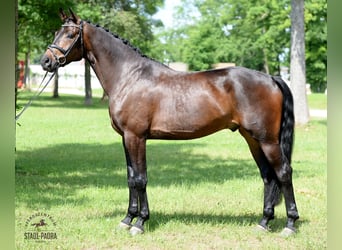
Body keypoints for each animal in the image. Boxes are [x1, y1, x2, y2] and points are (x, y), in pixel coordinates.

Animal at [40, 8, 300, 236]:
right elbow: (130, 178)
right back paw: (264, 222)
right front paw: (127, 219)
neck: (130, 76)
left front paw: (140, 223)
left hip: (267, 140)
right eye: (56, 32)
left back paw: (290, 225)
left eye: (70, 34)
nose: (46, 61)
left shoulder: (136, 137)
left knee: (283, 172)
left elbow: (140, 178)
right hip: (253, 139)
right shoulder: (126, 138)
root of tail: (271, 78)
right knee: (268, 176)